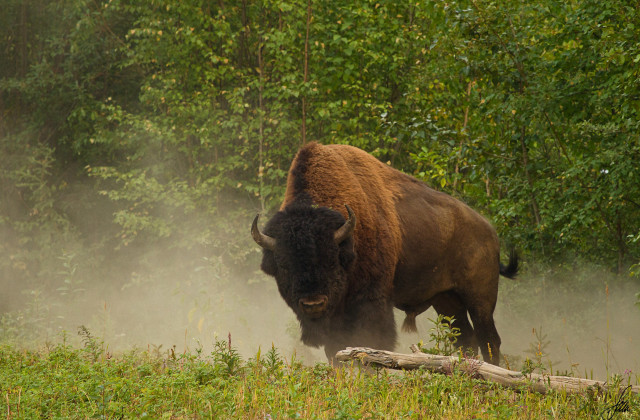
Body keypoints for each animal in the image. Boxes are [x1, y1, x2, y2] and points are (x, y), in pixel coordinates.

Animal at [252, 142, 518, 364]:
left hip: (480, 299)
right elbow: (335, 350)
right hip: (446, 301)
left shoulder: (371, 300)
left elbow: (371, 342)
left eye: (331, 260)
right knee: (466, 338)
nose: (313, 303)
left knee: (489, 338)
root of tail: (490, 232)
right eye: (285, 266)